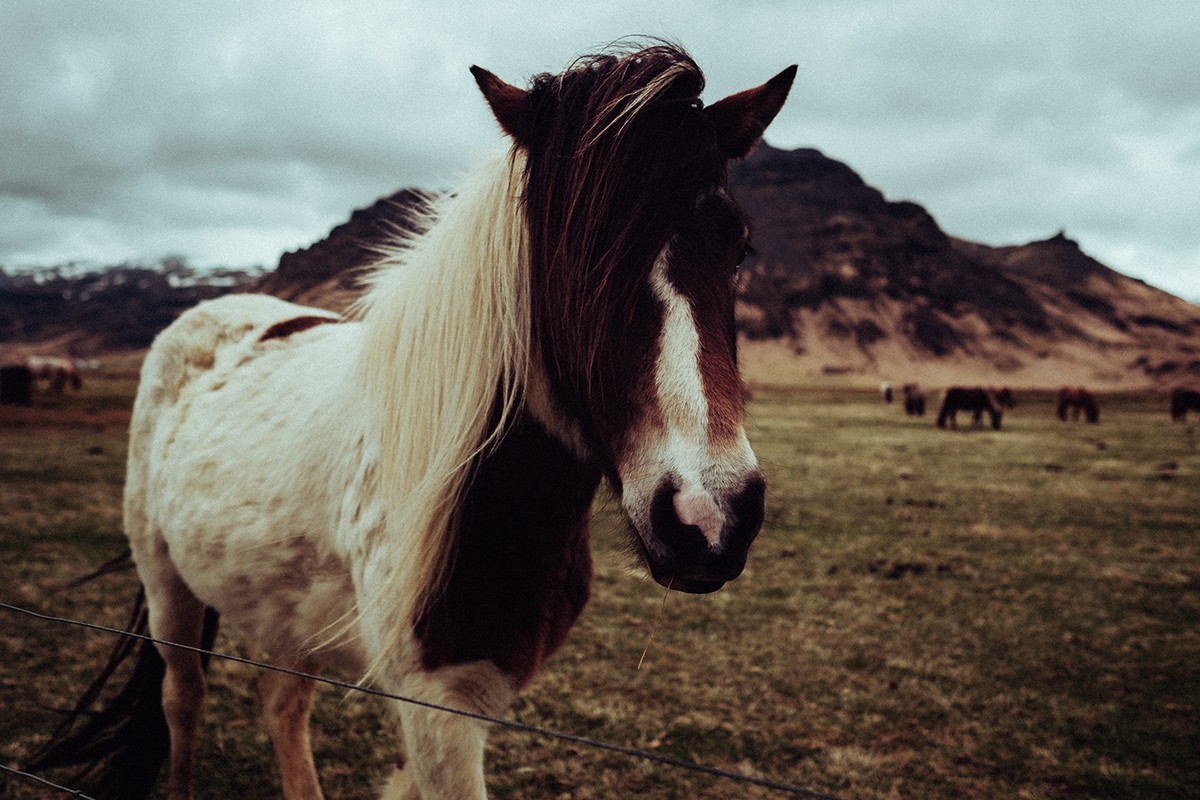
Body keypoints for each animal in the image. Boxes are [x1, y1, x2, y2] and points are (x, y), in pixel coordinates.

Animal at [25, 45, 796, 800]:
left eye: (740, 246)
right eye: (571, 259)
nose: (708, 517)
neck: (484, 496)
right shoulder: (437, 703)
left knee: (280, 706)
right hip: (168, 586)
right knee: (182, 699)